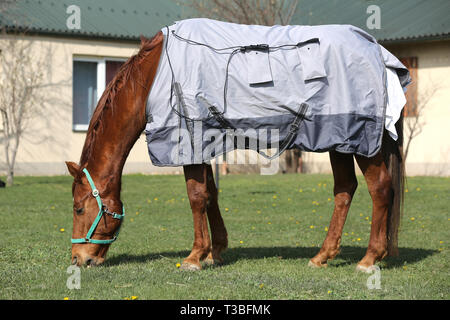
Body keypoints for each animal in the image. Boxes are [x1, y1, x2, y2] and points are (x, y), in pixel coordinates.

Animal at [64, 28, 404, 272]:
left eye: (79, 209)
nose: (79, 258)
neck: (155, 76)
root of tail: (377, 50)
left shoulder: (189, 141)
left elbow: (196, 196)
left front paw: (194, 257)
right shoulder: (203, 145)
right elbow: (210, 194)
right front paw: (215, 252)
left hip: (363, 142)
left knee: (380, 189)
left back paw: (369, 258)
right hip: (340, 141)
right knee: (345, 190)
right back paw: (323, 255)